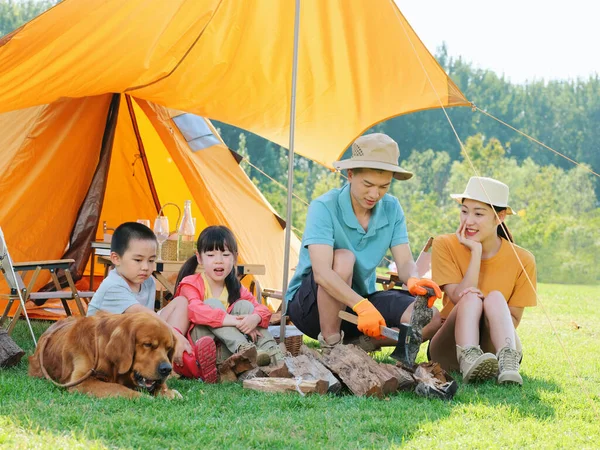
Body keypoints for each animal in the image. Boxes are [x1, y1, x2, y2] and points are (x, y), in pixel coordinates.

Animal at [28, 312, 182, 400]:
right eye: (148, 344)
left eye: (169, 349)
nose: (167, 369)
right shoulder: (81, 381)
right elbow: (117, 387)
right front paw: (141, 396)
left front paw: (168, 392)